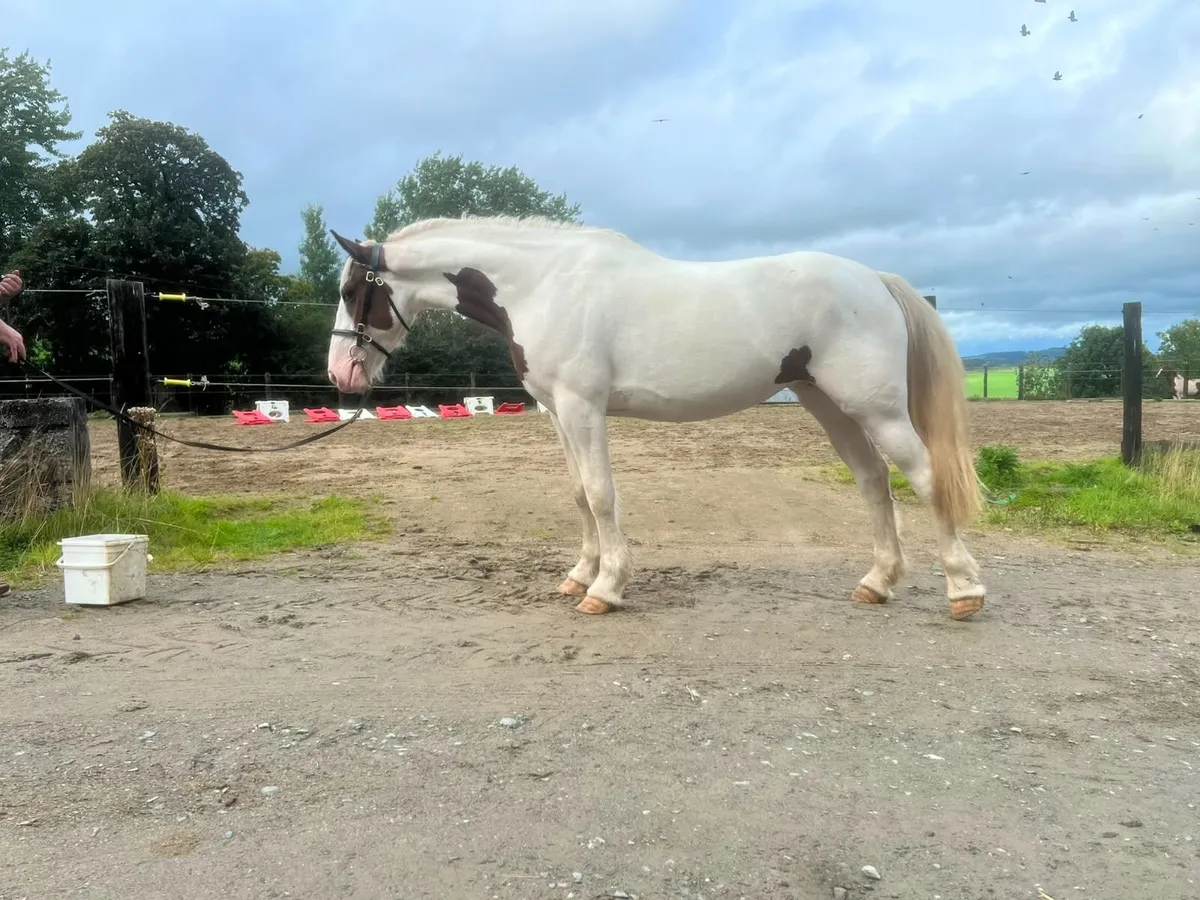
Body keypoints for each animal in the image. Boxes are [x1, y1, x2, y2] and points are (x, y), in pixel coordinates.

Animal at [325, 215, 987, 621]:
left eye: (356, 291)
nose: (340, 375)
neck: (543, 285)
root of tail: (874, 278)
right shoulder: (558, 412)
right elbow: (578, 494)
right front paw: (580, 574)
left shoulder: (583, 407)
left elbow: (600, 494)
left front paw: (606, 589)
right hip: (830, 406)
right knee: (874, 483)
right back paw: (877, 583)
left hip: (875, 408)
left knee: (927, 478)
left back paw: (964, 589)